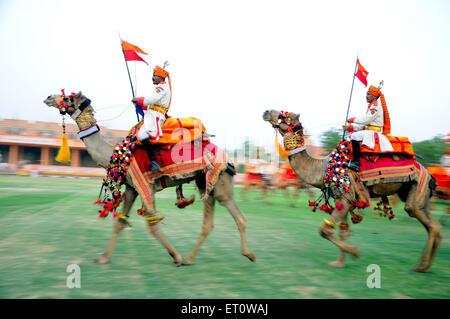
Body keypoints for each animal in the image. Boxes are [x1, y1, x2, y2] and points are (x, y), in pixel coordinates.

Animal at [43, 91, 255, 266]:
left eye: (68, 97)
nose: (48, 97)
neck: (118, 154)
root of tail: (228, 159)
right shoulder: (131, 188)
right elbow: (120, 222)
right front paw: (103, 258)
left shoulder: (146, 185)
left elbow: (152, 224)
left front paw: (176, 257)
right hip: (206, 184)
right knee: (209, 223)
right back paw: (191, 259)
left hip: (220, 184)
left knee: (239, 217)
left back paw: (247, 254)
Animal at [264, 109, 442, 272]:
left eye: (283, 115)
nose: (266, 112)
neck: (323, 168)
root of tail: (429, 174)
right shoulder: (340, 198)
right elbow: (343, 230)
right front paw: (339, 262)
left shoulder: (347, 197)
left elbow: (325, 230)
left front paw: (354, 252)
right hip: (418, 193)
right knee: (433, 225)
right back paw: (426, 265)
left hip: (418, 188)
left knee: (425, 221)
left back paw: (421, 266)